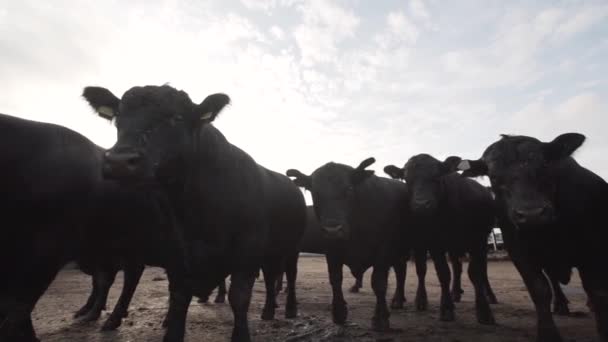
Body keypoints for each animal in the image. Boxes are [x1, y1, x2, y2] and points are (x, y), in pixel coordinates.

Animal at [82, 85, 306, 342]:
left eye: (176, 117)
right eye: (118, 115)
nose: (119, 161)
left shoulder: (247, 252)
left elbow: (239, 298)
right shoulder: (176, 257)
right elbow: (178, 299)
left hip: (291, 248)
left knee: (288, 275)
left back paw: (289, 309)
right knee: (270, 277)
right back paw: (268, 311)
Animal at [284, 160, 408, 332]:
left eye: (349, 189)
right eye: (314, 192)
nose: (332, 229)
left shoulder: (384, 251)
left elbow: (378, 282)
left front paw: (380, 319)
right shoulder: (332, 250)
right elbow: (335, 279)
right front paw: (339, 312)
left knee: (401, 272)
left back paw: (398, 300)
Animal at [388, 154, 496, 324]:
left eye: (437, 177)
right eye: (407, 179)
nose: (421, 205)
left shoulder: (477, 240)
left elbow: (475, 273)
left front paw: (484, 311)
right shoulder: (434, 244)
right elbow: (443, 273)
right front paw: (446, 308)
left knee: (481, 270)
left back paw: (489, 296)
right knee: (447, 268)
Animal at [458, 134, 604, 342]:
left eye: (545, 164)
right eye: (493, 176)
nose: (532, 214)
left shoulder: (593, 247)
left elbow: (597, 290)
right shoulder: (519, 251)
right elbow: (539, 289)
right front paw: (548, 334)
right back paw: (561, 305)